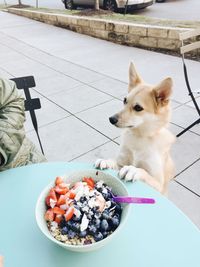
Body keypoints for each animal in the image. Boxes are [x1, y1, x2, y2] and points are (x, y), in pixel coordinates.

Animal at [95, 62, 175, 195]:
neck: (139, 137)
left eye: (138, 108)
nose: (111, 119)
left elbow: (143, 172)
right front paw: (107, 161)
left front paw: (133, 170)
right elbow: (116, 163)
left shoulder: (158, 185)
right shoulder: (121, 163)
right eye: (124, 100)